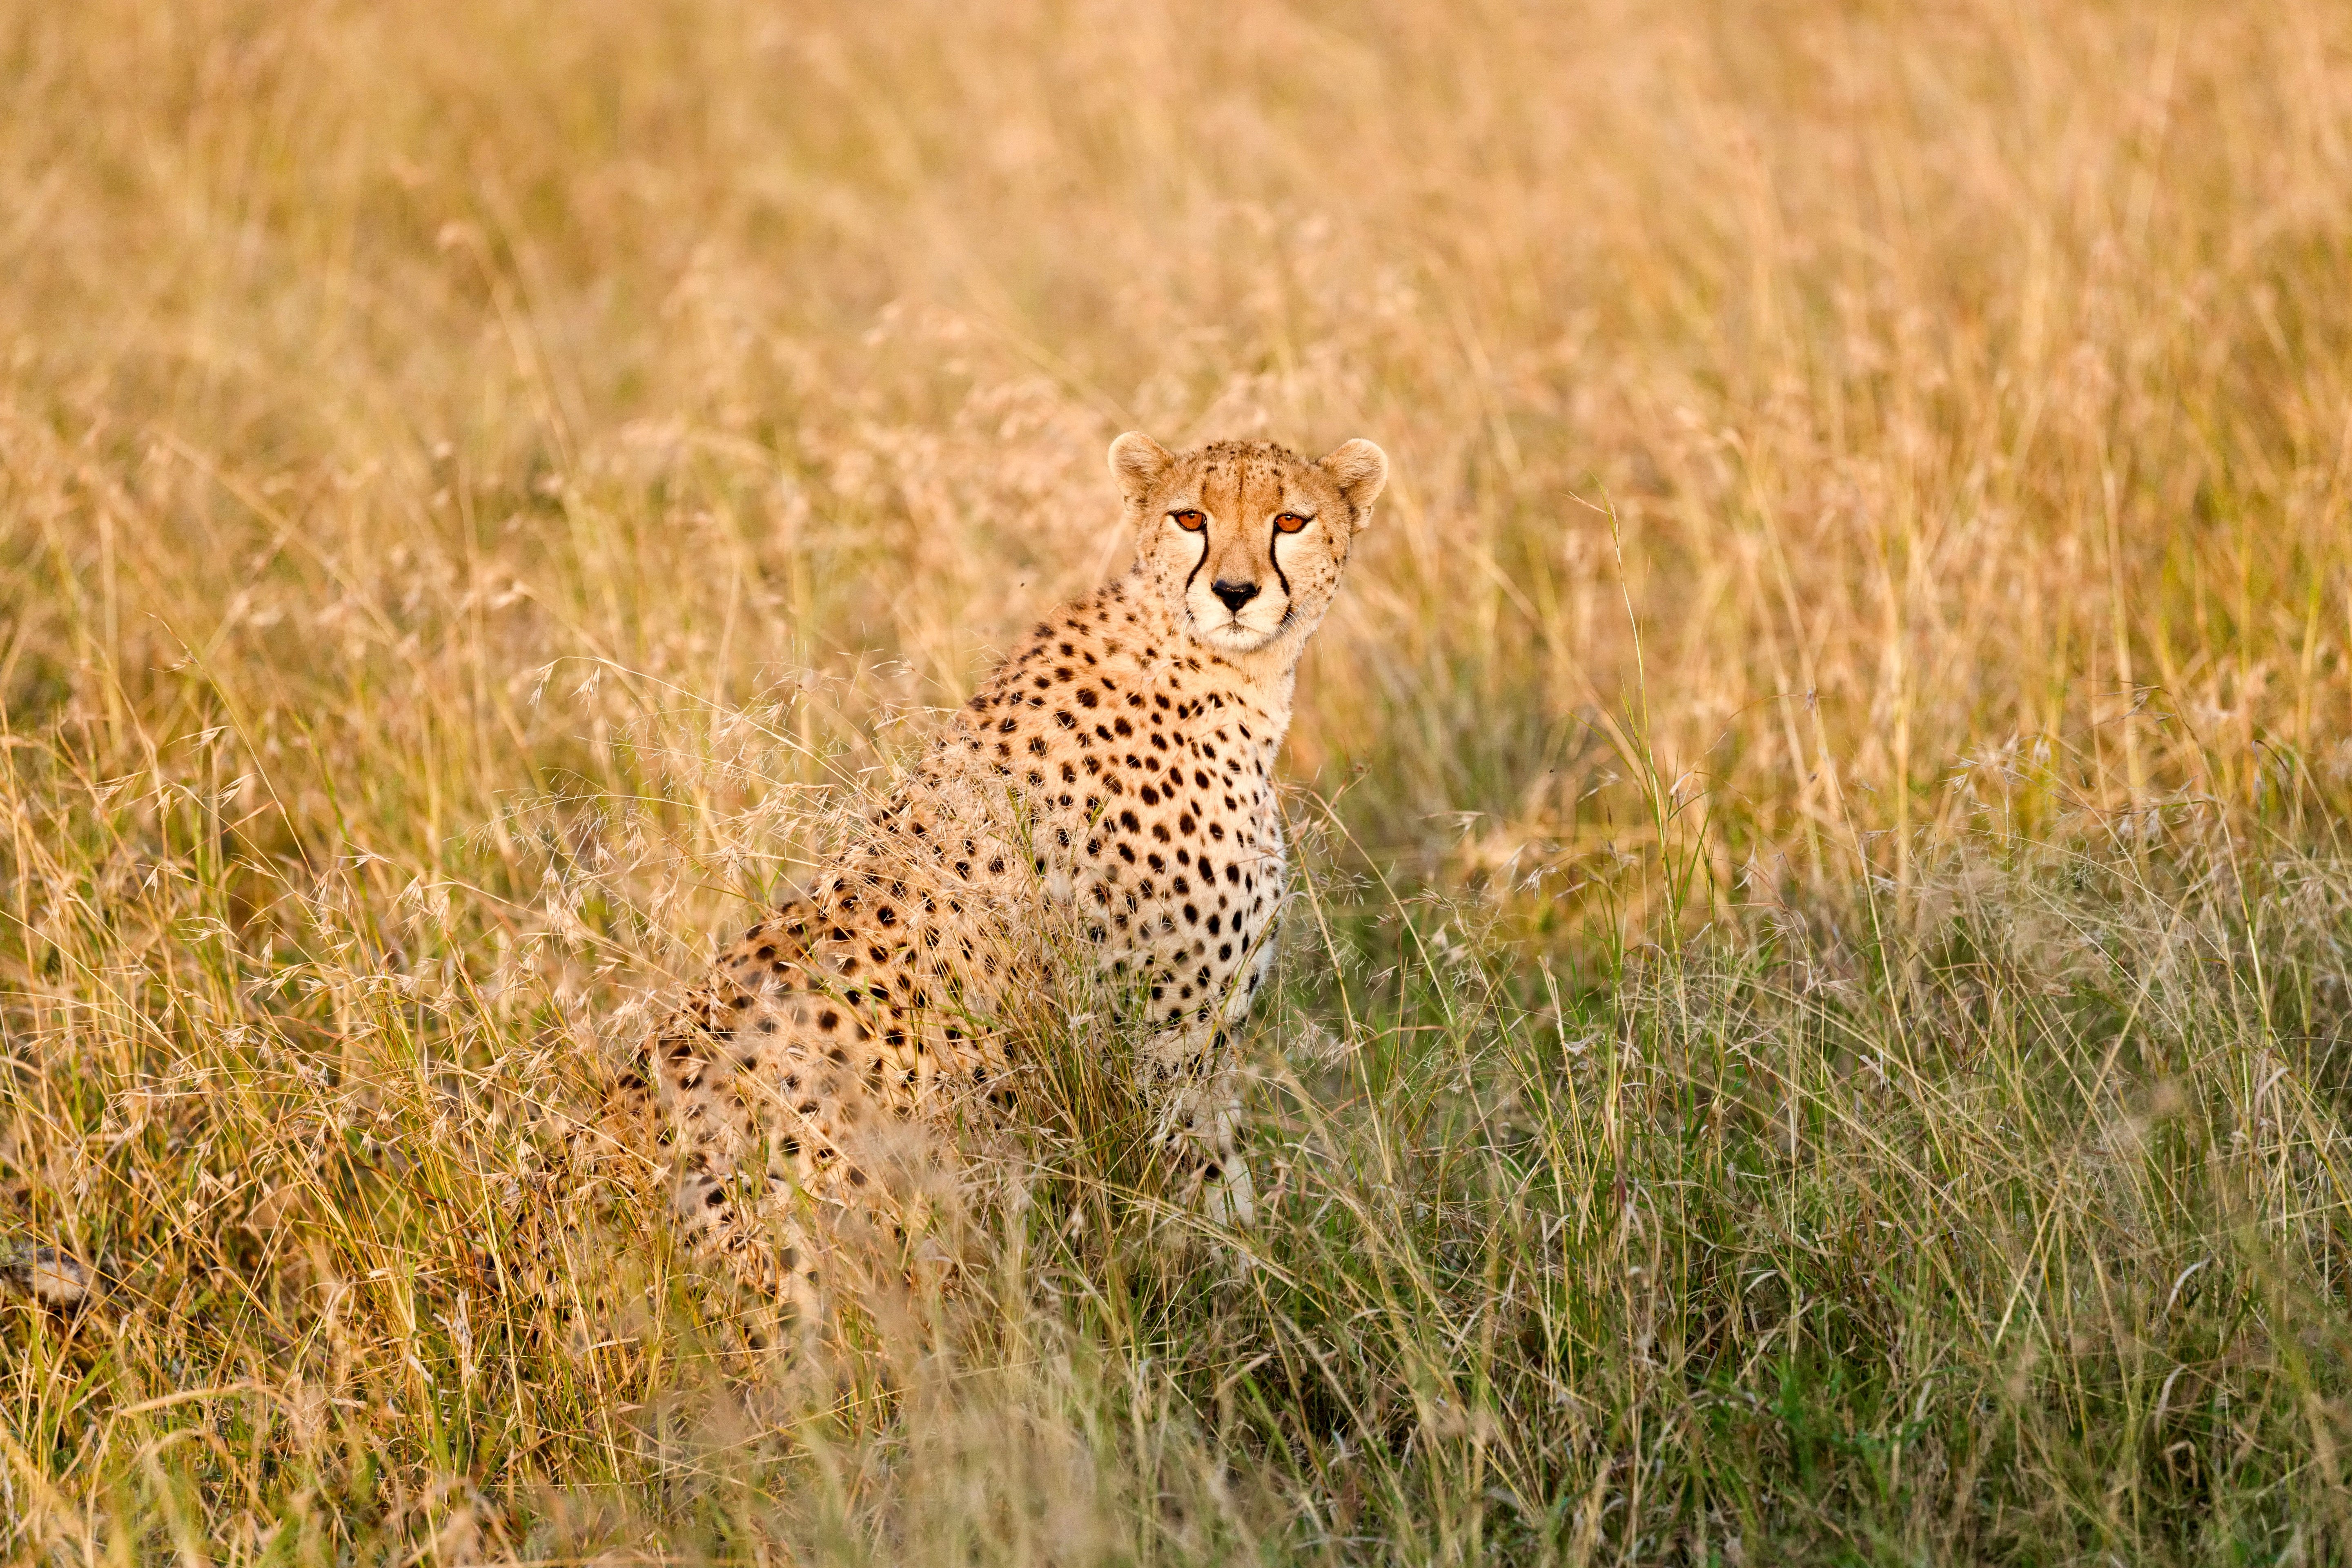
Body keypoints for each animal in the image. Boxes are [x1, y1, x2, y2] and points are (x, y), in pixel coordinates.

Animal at [609, 432, 1387, 1325]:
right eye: (1190, 517)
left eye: (1290, 520)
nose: (1233, 592)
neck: (1213, 664)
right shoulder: (1170, 1040)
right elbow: (1215, 1192)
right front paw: (1254, 1305)